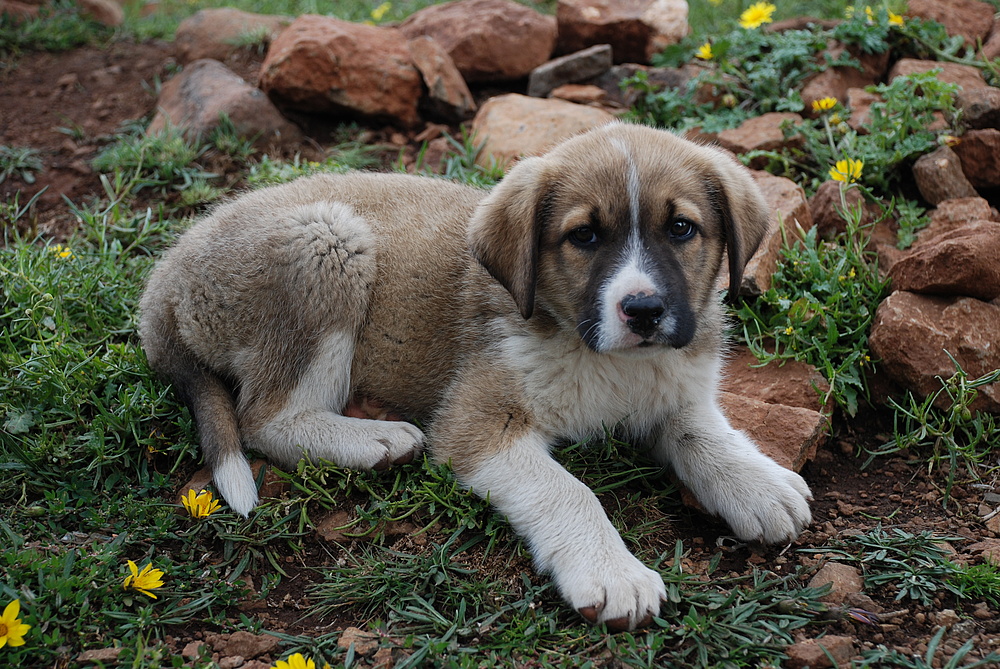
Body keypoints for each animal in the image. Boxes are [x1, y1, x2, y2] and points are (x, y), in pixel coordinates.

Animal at [139, 122, 812, 628]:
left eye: (681, 228)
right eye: (585, 236)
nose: (643, 311)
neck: (605, 358)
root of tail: (165, 281)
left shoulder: (676, 387)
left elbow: (702, 431)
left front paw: (756, 483)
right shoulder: (480, 422)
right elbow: (569, 489)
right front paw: (612, 571)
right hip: (328, 240)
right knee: (263, 417)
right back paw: (373, 439)